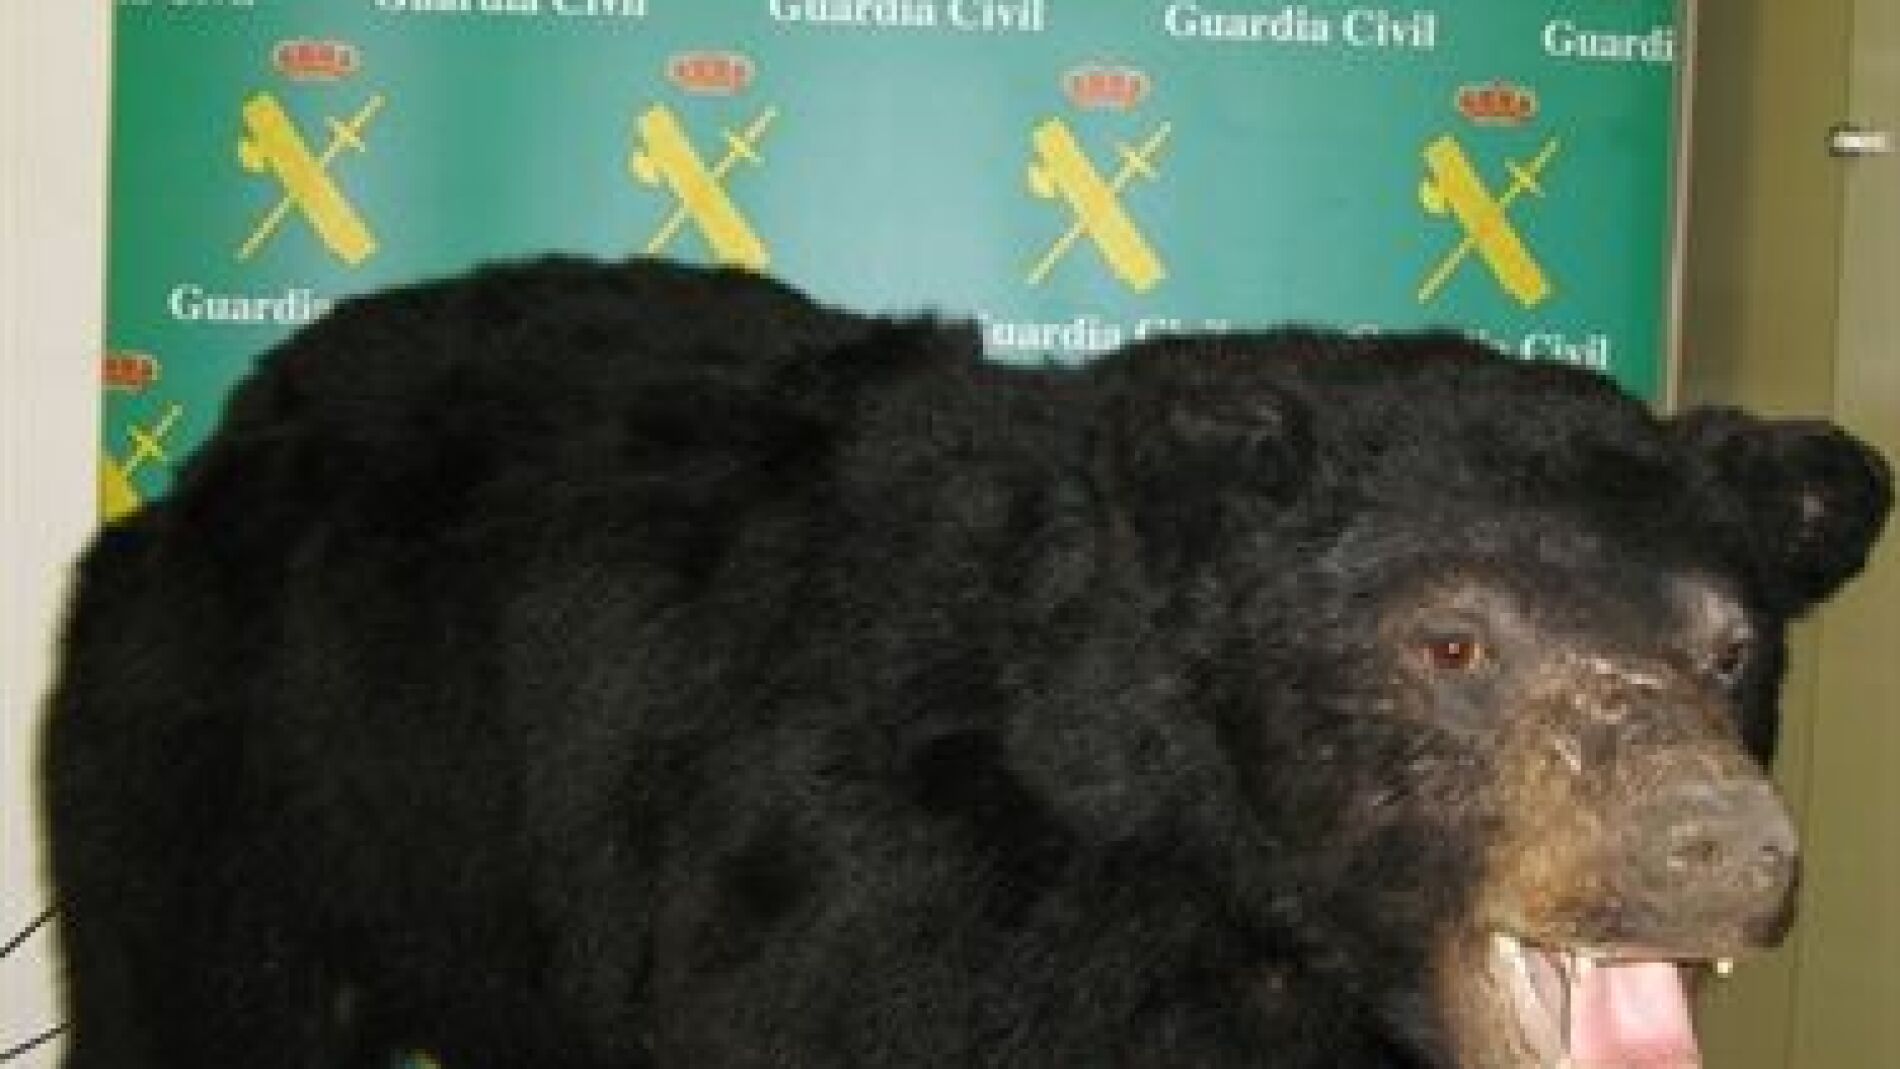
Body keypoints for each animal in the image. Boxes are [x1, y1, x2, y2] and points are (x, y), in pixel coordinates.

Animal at [40, 256, 1892, 1068]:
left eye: (1730, 646)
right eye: (1452, 640)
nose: (1717, 846)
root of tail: (219, 449)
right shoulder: (871, 914)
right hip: (237, 771)